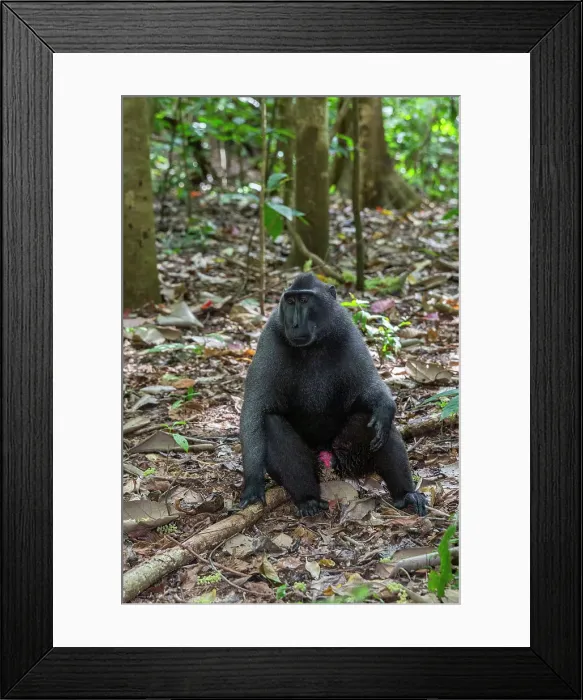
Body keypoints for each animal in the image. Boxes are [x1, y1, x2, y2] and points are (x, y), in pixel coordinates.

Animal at [239, 273, 427, 517]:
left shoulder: (347, 330)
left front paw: (385, 406)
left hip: (348, 458)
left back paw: (406, 494)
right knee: (271, 423)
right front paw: (253, 483)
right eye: (290, 301)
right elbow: (255, 410)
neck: (313, 345)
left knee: (375, 420)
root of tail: (326, 454)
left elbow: (370, 387)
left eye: (304, 300)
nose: (294, 324)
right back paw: (308, 499)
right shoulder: (270, 337)